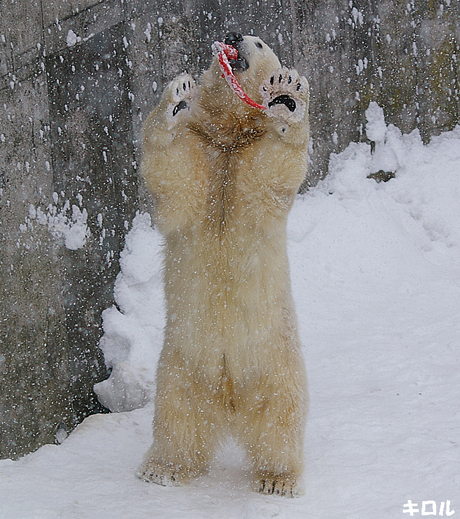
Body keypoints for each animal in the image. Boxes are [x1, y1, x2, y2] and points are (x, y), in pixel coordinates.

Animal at [137, 33, 310, 500]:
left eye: (260, 41)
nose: (233, 37)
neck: (230, 134)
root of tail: (229, 401)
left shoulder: (248, 158)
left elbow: (278, 166)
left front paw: (288, 93)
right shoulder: (204, 148)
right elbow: (173, 173)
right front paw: (176, 96)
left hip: (276, 361)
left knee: (280, 415)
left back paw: (277, 478)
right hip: (179, 365)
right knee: (177, 416)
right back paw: (163, 468)